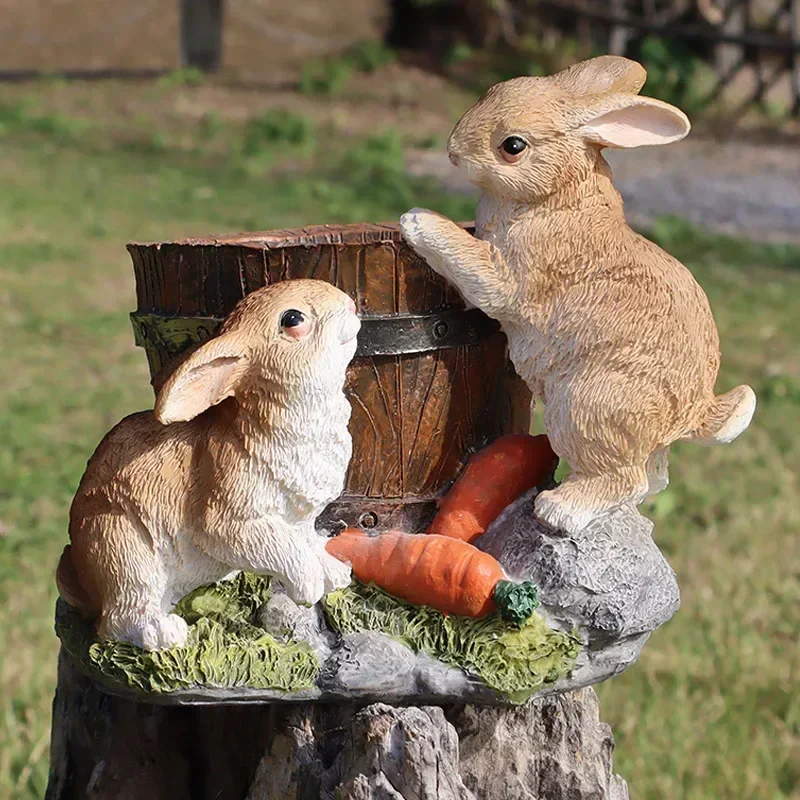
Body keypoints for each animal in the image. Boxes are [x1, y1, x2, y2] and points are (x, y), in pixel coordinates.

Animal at [61, 278, 360, 648]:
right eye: (292, 319)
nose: (350, 304)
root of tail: (84, 581)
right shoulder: (228, 523)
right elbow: (283, 549)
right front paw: (310, 586)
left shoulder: (299, 521)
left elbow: (305, 542)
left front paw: (335, 573)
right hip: (121, 545)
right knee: (117, 619)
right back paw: (163, 632)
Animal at [400, 54, 756, 532]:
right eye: (493, 90)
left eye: (513, 146)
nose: (453, 150)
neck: (557, 195)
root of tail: (694, 411)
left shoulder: (507, 275)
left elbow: (475, 266)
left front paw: (416, 219)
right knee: (650, 479)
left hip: (583, 409)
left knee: (625, 480)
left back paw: (559, 509)